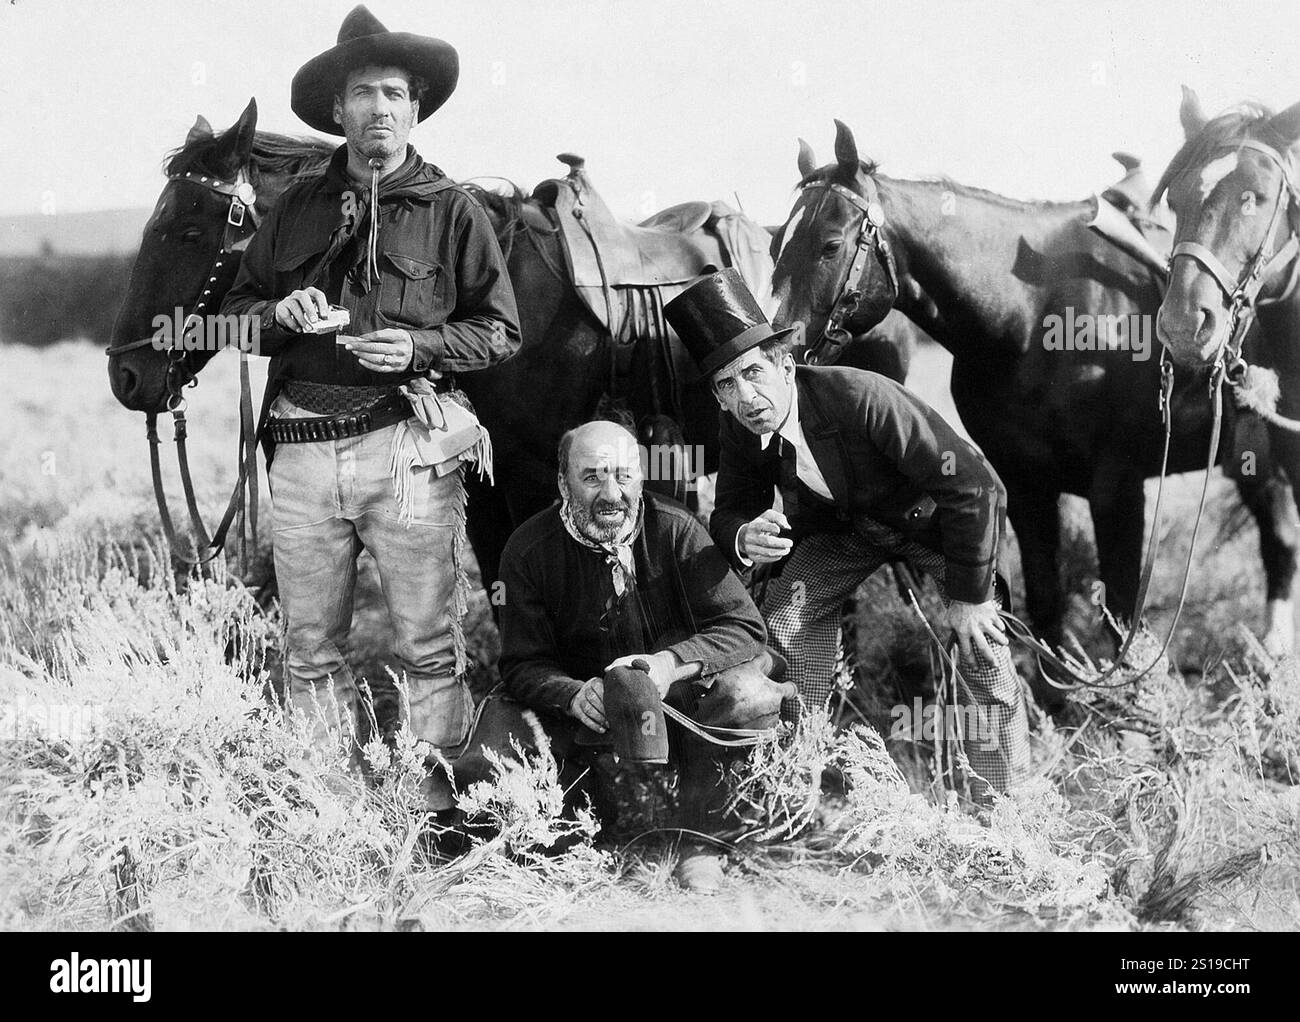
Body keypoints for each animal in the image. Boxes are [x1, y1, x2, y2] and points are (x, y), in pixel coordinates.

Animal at [759, 121, 1300, 660]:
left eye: (830, 245)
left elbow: (1121, 615)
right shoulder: (1025, 486)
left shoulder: (1118, 489)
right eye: (774, 246)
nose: (779, 345)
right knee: (1280, 539)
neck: (1031, 316)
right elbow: (1045, 605)